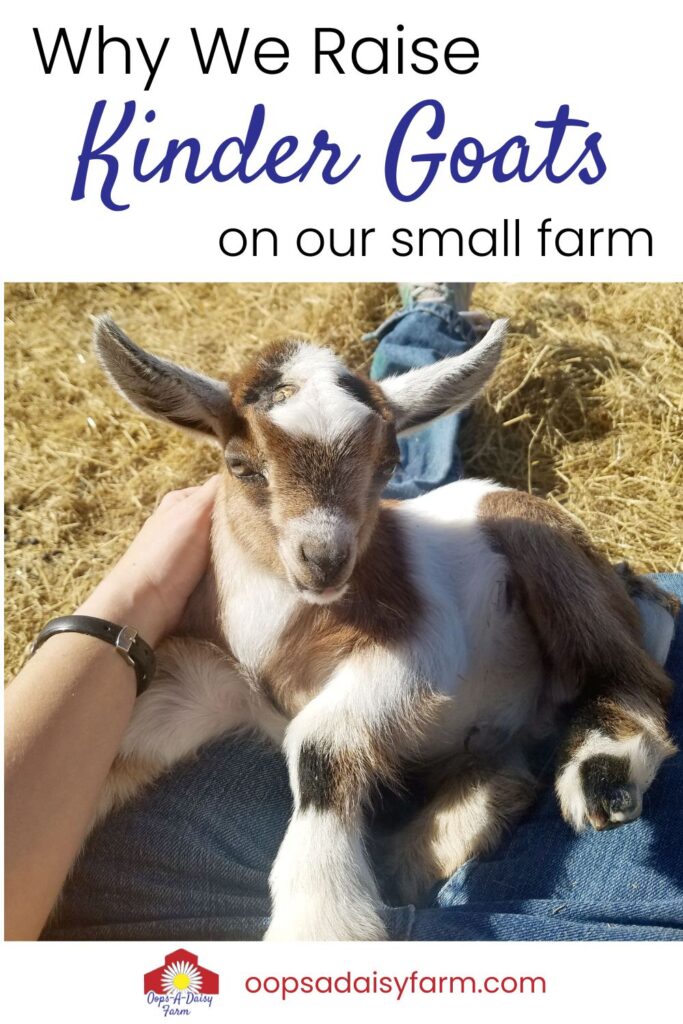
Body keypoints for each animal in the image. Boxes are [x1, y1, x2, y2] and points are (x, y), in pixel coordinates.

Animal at [92, 315, 679, 937]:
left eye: (388, 466)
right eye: (240, 465)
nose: (324, 560)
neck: (275, 642)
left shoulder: (418, 641)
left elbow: (318, 746)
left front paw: (320, 923)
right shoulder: (209, 682)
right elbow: (119, 739)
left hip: (538, 536)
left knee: (639, 651)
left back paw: (603, 770)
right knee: (507, 775)